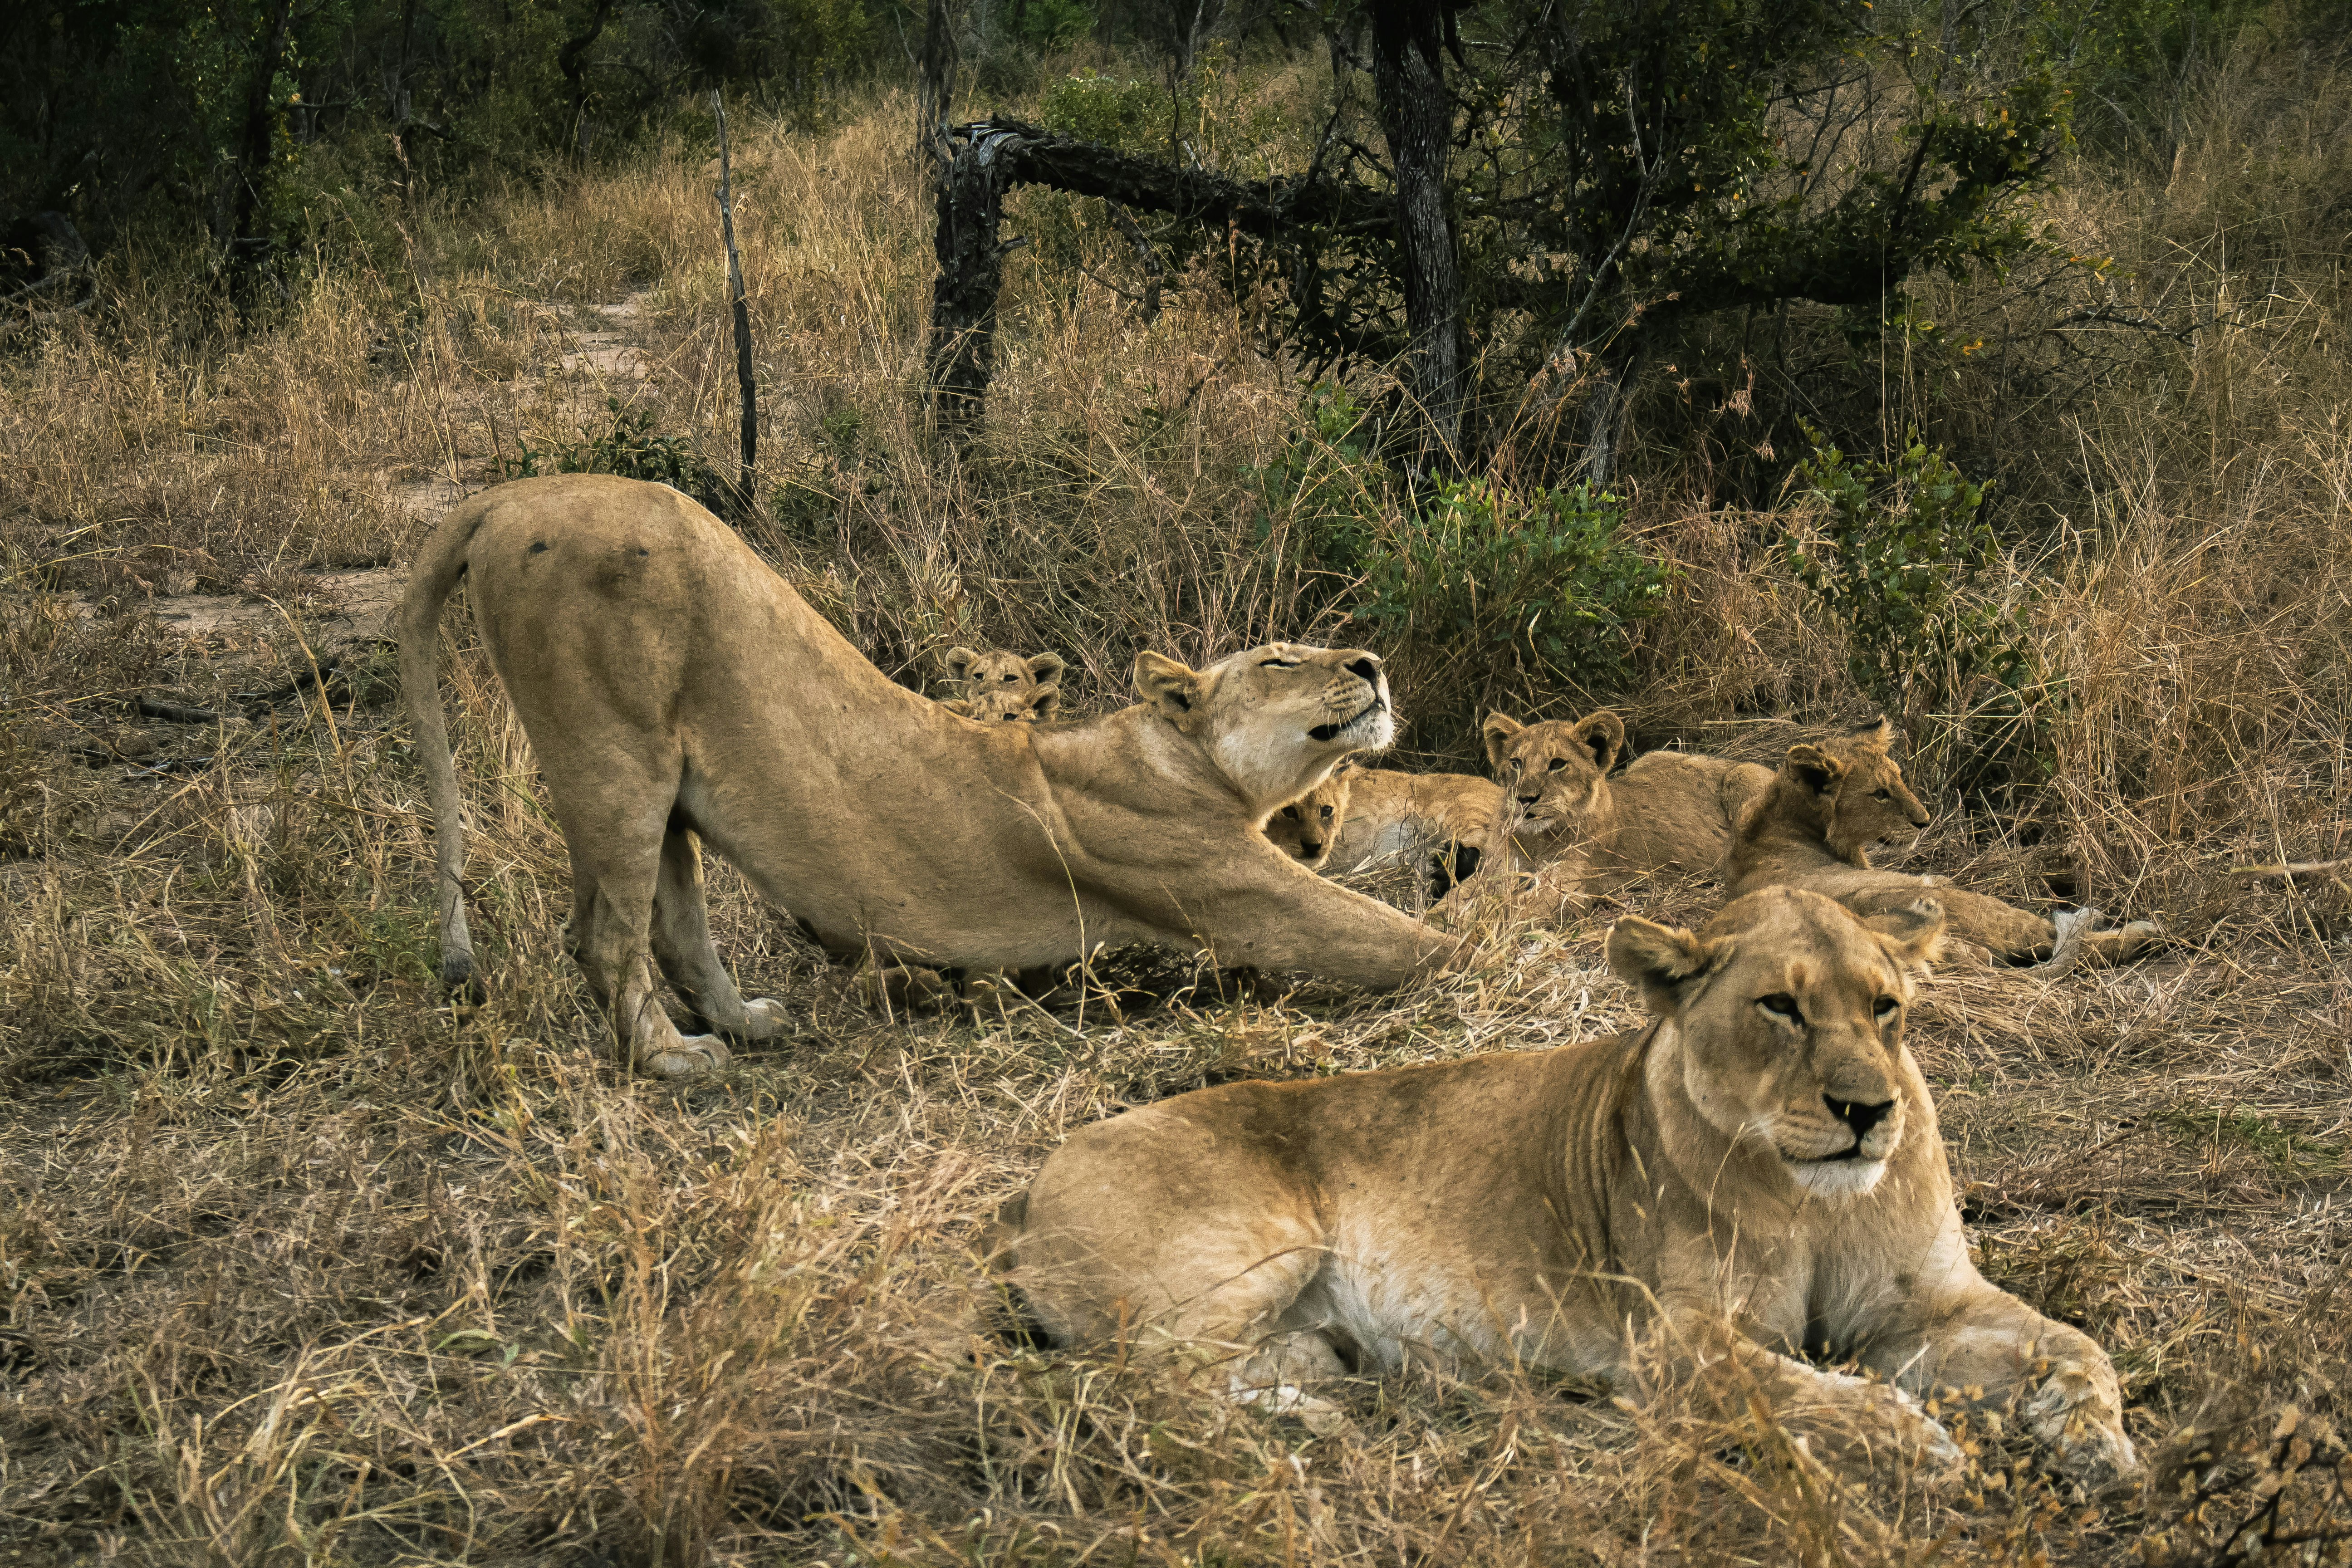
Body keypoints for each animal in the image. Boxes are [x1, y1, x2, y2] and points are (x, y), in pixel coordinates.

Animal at [397, 475, 1460, 1076]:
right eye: (1280, 658)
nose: (1370, 663)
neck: (1181, 760)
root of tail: (513, 494)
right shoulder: (1234, 889)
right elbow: (1418, 944)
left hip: (666, 781)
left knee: (673, 921)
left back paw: (745, 1023)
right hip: (612, 748)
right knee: (603, 934)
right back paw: (672, 1059)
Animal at [992, 887, 2139, 1483]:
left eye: (1885, 1007)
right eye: (1779, 1007)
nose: (1867, 1111)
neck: (1808, 1198)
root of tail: (1032, 1181)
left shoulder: (1925, 1307)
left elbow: (2078, 1345)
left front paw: (2098, 1441)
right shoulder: (1674, 1346)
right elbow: (1808, 1391)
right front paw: (1921, 1442)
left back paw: (1331, 1400)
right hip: (1257, 1241)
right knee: (1133, 1381)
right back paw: (1318, 1424)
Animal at [1483, 709, 1773, 884]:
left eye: (1557, 765)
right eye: (1516, 763)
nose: (1524, 799)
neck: (1536, 840)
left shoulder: (1573, 883)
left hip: (1743, 776)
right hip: (1649, 757)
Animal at [1726, 719, 2161, 966]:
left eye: (1900, 778)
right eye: (1880, 794)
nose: (1924, 822)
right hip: (1967, 901)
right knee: (2069, 942)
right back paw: (2136, 932)